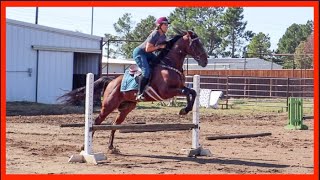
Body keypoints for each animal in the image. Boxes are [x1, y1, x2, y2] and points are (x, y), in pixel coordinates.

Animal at [59, 29, 208, 152]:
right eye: (196, 44)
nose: (205, 61)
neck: (169, 65)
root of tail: (111, 81)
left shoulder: (179, 88)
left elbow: (192, 92)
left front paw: (185, 109)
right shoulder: (166, 92)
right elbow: (187, 92)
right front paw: (184, 110)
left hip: (126, 108)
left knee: (114, 124)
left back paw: (111, 147)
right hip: (108, 105)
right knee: (96, 122)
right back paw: (85, 147)